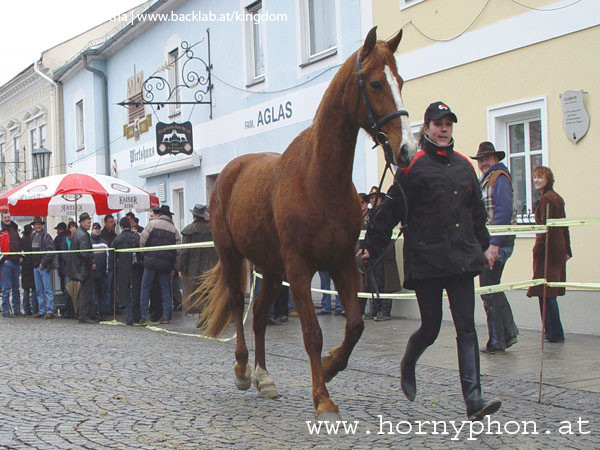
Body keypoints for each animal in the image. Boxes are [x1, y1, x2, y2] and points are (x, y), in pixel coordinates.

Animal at [195, 27, 414, 418]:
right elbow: (312, 333)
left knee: (260, 316)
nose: (405, 148)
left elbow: (355, 325)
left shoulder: (342, 263)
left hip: (271, 268)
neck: (318, 180)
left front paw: (330, 367)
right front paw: (322, 397)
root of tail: (230, 173)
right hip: (233, 256)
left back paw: (264, 378)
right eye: (375, 83)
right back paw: (242, 370)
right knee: (238, 306)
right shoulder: (299, 267)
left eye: (400, 81)